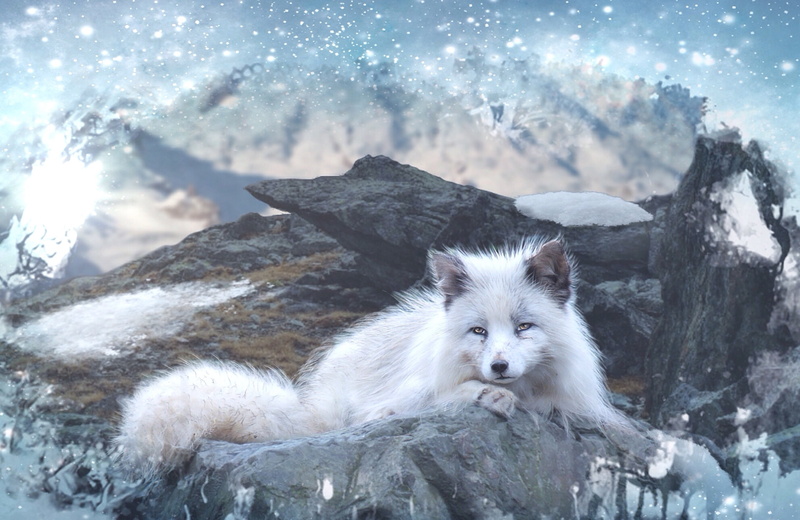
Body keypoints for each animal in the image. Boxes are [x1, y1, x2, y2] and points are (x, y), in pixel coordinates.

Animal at [115, 238, 624, 474]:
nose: (498, 368)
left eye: (523, 327)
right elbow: (442, 397)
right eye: (479, 331)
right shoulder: (388, 408)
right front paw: (486, 395)